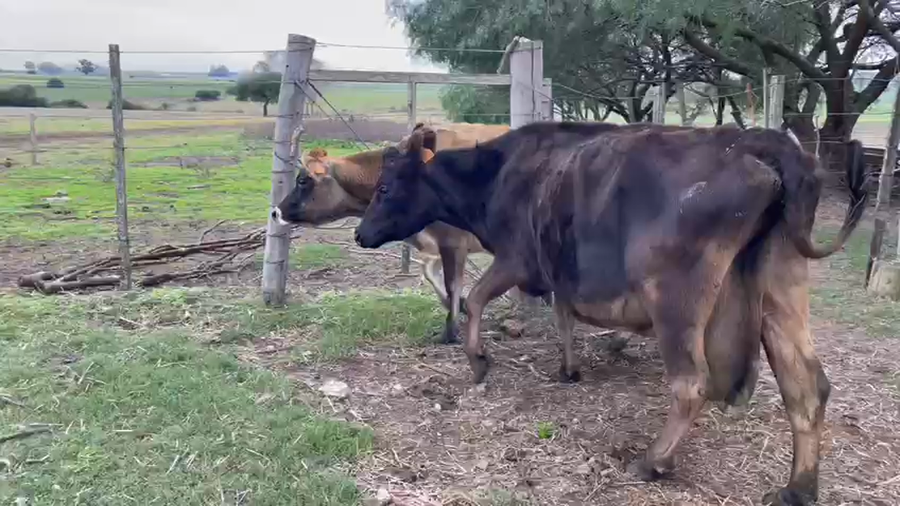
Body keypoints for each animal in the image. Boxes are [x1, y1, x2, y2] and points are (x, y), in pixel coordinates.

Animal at [273, 122, 530, 345]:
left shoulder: (452, 241)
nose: (275, 212)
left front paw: (450, 332)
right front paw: (462, 307)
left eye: (302, 180)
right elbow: (431, 275)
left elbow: (451, 284)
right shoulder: (434, 245)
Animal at [352, 121, 868, 505]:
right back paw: (798, 489)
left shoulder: (517, 258)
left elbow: (476, 298)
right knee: (806, 385)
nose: (359, 234)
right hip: (781, 284)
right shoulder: (558, 271)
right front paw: (568, 369)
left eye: (385, 187)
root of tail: (757, 141)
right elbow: (562, 316)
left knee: (691, 383)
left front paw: (478, 361)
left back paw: (653, 460)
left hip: (675, 295)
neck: (497, 176)